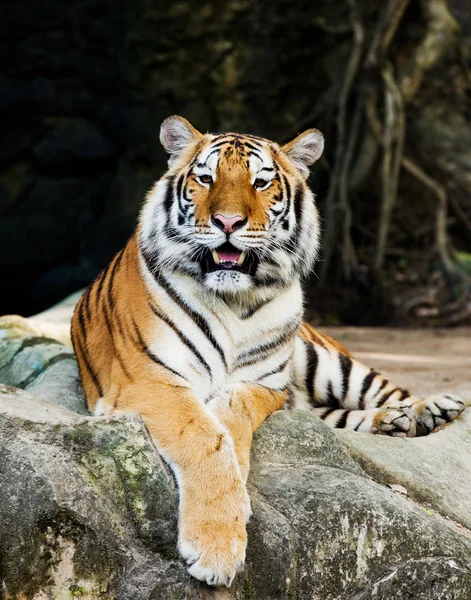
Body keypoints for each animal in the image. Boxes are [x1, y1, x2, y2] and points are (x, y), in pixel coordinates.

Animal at [65, 116, 464, 584]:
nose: (227, 222)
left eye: (260, 182)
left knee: (385, 392)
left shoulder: (263, 383)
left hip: (327, 362)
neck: (233, 302)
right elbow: (205, 436)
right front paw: (218, 545)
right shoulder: (149, 379)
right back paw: (398, 421)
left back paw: (431, 409)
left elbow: (228, 420)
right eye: (206, 178)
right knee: (332, 417)